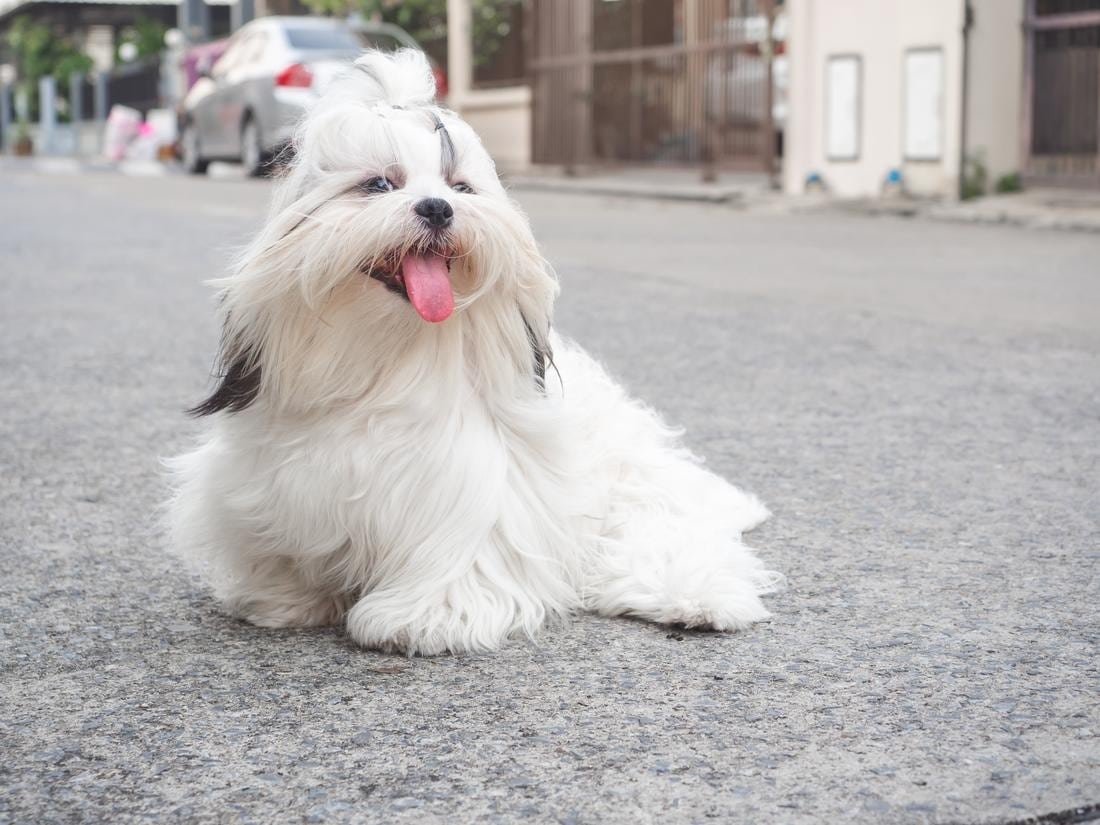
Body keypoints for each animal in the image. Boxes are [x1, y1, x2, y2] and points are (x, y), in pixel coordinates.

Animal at [167, 50, 778, 660]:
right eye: (378, 184)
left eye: (460, 187)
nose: (438, 208)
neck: (386, 361)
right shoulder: (279, 485)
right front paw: (284, 597)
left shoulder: (472, 485)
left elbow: (461, 554)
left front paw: (425, 618)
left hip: (637, 497)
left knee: (668, 539)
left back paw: (696, 600)